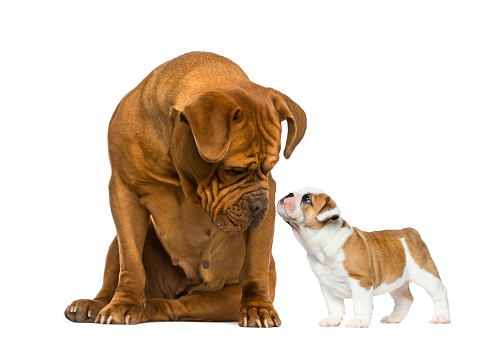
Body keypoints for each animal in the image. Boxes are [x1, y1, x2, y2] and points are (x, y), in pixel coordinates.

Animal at [65, 51, 306, 328]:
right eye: (233, 170)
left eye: (270, 168)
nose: (260, 206)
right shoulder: (123, 192)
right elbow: (131, 261)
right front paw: (123, 304)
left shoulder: (269, 198)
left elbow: (255, 262)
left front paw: (258, 307)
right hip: (117, 242)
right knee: (115, 273)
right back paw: (94, 305)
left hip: (222, 300)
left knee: (176, 306)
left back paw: (148, 308)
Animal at [278, 188, 452, 328]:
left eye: (306, 199)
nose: (288, 194)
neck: (324, 240)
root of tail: (409, 231)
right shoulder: (327, 285)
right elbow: (334, 305)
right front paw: (332, 320)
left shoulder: (360, 281)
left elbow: (361, 304)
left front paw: (359, 321)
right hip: (396, 281)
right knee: (405, 299)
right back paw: (393, 318)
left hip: (425, 273)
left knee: (439, 292)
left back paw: (441, 317)